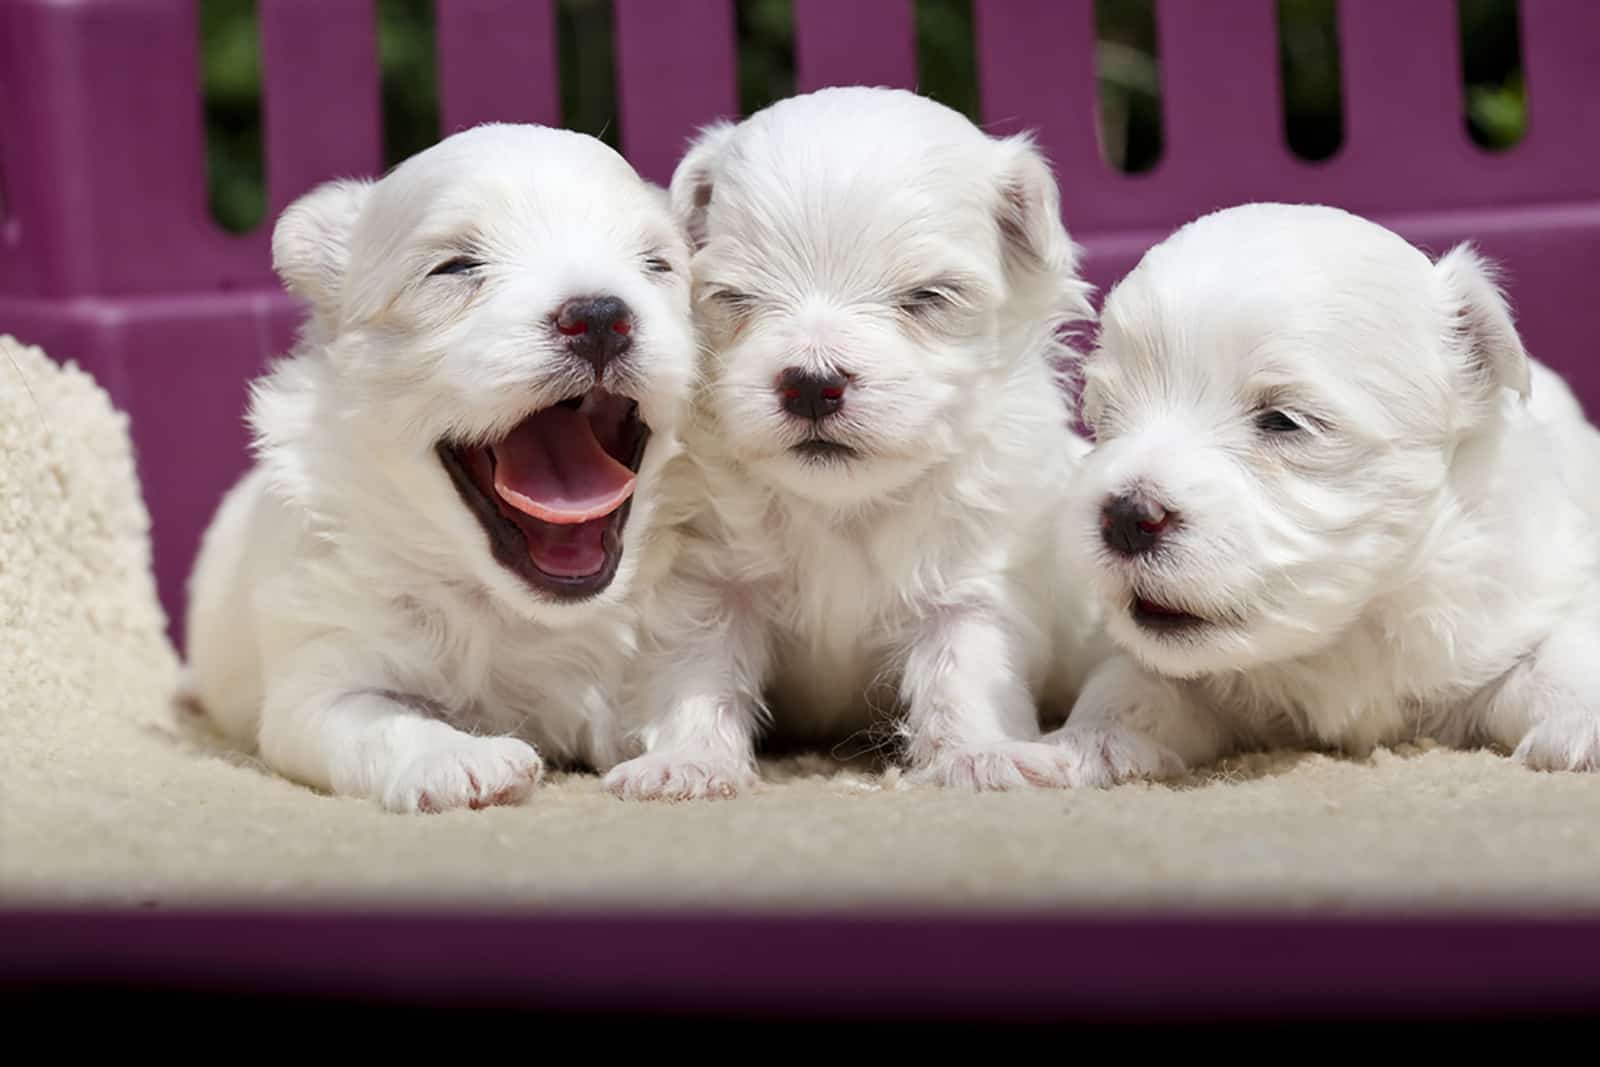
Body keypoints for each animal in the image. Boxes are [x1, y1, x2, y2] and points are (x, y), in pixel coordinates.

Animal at [184, 123, 697, 809]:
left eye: (657, 265)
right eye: (454, 267)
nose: (598, 316)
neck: (517, 613)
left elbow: (688, 694)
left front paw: (685, 760)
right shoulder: (319, 684)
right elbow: (383, 720)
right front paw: (462, 760)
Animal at [604, 87, 1107, 796]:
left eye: (928, 297)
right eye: (735, 298)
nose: (813, 385)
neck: (842, 508)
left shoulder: (973, 587)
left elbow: (966, 675)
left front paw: (984, 755)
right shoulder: (709, 584)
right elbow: (697, 674)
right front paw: (689, 760)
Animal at [1049, 202, 1600, 783]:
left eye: (1283, 420)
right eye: (1106, 414)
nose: (1124, 517)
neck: (1343, 635)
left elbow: (1559, 657)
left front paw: (1582, 726)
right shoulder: (1162, 667)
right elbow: (1130, 682)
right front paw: (1090, 741)